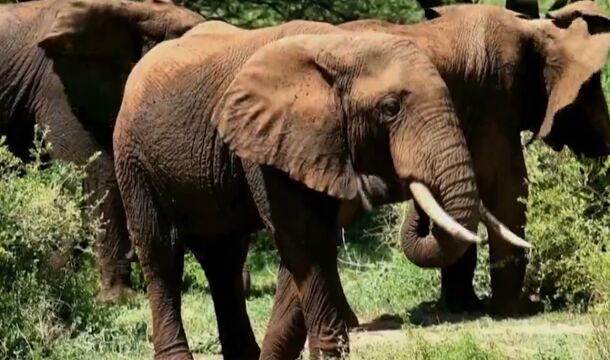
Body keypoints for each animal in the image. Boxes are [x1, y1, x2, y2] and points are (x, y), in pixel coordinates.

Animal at [110, 18, 528, 358]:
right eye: (390, 109)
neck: (341, 46)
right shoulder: (270, 143)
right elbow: (303, 240)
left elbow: (310, 248)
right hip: (131, 156)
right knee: (162, 252)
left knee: (223, 257)